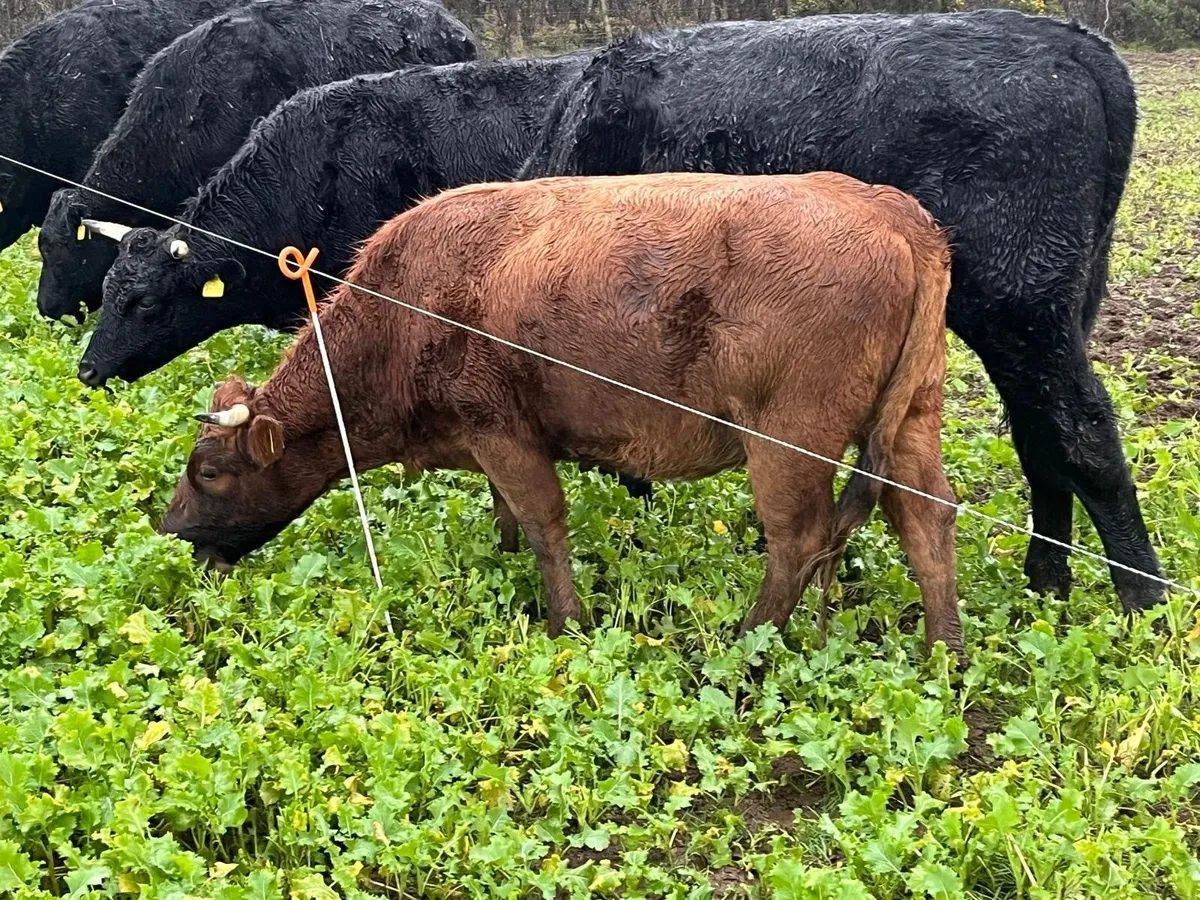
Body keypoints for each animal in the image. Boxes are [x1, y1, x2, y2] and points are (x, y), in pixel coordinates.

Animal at [157, 171, 964, 657]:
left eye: (209, 471)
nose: (168, 533)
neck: (407, 302)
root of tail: (889, 209)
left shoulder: (503, 430)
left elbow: (545, 522)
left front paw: (564, 621)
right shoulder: (487, 440)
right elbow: (507, 513)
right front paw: (502, 558)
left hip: (786, 442)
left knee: (799, 540)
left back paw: (748, 641)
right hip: (913, 419)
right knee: (927, 518)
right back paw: (943, 652)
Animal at [518, 11, 1163, 615]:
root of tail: (1070, 41)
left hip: (1020, 308)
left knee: (1082, 432)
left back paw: (1144, 600)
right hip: (1053, 315)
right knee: (1040, 434)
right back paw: (1047, 582)